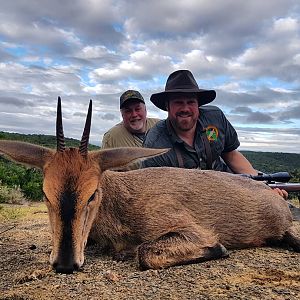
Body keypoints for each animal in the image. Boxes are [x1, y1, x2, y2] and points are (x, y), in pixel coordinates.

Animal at [0, 97, 298, 274]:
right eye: (45, 194)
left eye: (92, 194)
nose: (64, 264)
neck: (120, 202)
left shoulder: (191, 230)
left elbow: (145, 253)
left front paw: (220, 249)